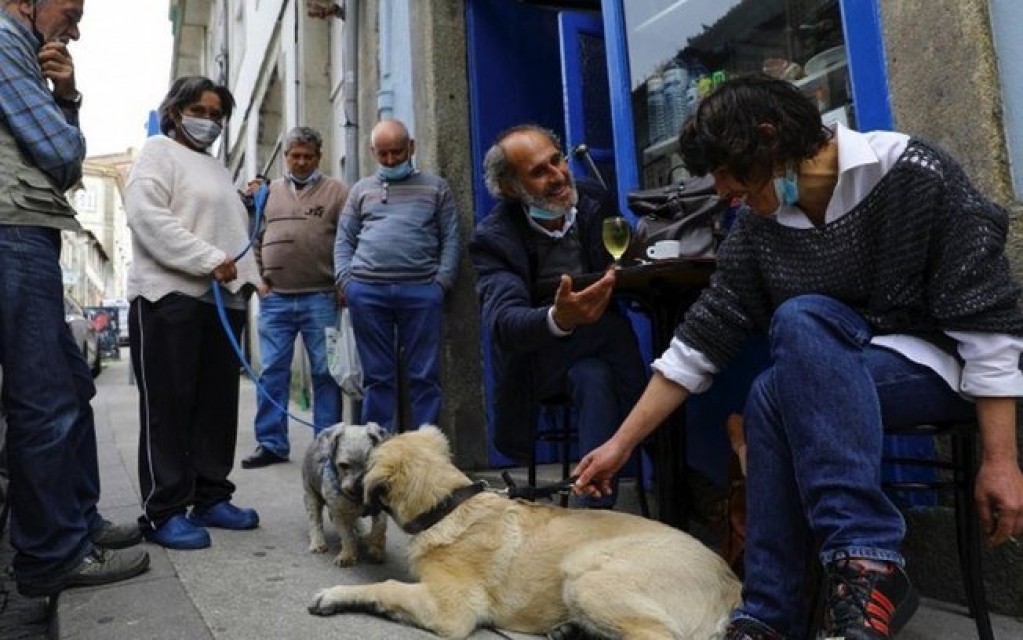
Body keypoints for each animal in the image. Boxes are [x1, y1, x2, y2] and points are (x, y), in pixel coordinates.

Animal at [306, 423, 740, 637]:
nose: (342, 494)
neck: (448, 505)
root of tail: (732, 585)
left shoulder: (452, 610)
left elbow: (388, 588)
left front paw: (334, 595)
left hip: (585, 571)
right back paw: (570, 629)